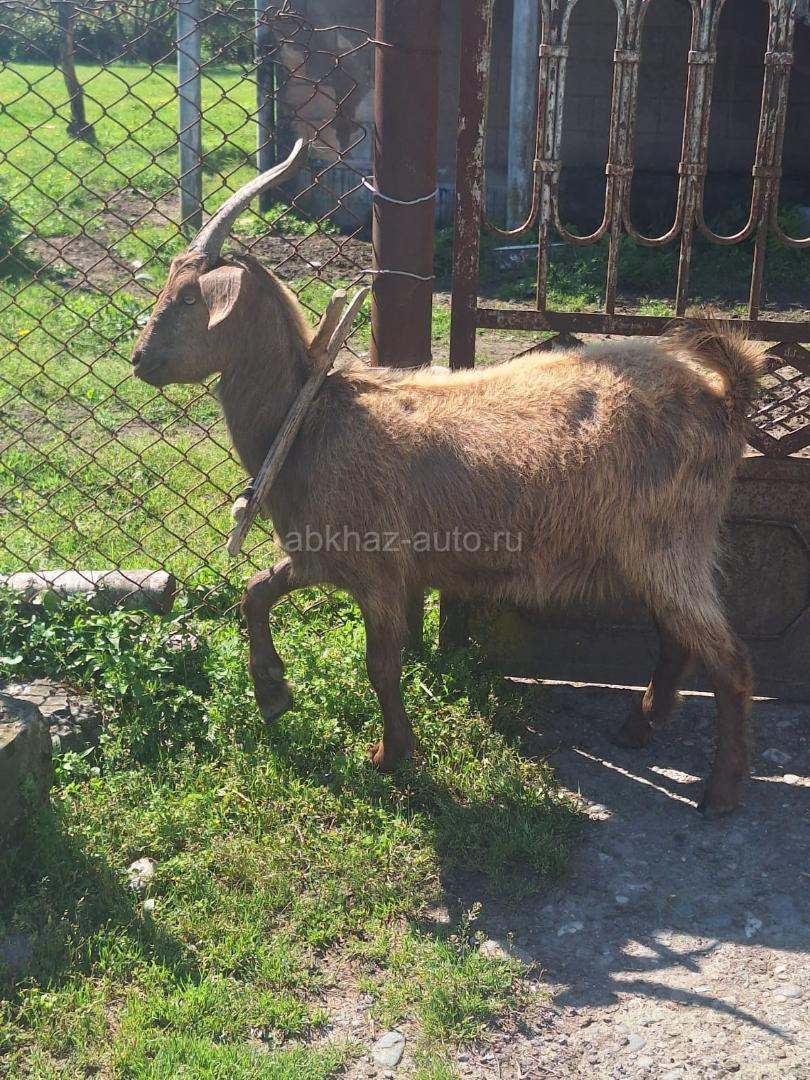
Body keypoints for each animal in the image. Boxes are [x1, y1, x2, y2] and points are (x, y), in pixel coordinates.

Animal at [132, 141, 767, 816]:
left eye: (190, 299)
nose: (140, 360)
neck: (308, 419)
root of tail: (724, 395)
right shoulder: (319, 555)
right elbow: (254, 592)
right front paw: (274, 695)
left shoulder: (380, 569)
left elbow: (380, 664)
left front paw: (391, 756)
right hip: (647, 547)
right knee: (678, 640)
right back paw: (638, 728)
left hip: (669, 540)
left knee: (729, 660)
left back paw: (720, 790)